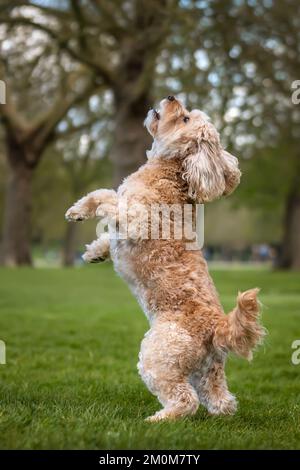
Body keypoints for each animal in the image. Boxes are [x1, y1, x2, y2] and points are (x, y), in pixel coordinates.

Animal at [66, 95, 264, 422]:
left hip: (158, 356)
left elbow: (107, 196)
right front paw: (94, 252)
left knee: (186, 400)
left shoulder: (136, 217)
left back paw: (158, 420)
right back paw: (217, 413)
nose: (172, 97)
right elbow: (107, 226)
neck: (170, 172)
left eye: (185, 119)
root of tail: (217, 325)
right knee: (222, 401)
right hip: (208, 370)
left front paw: (81, 210)